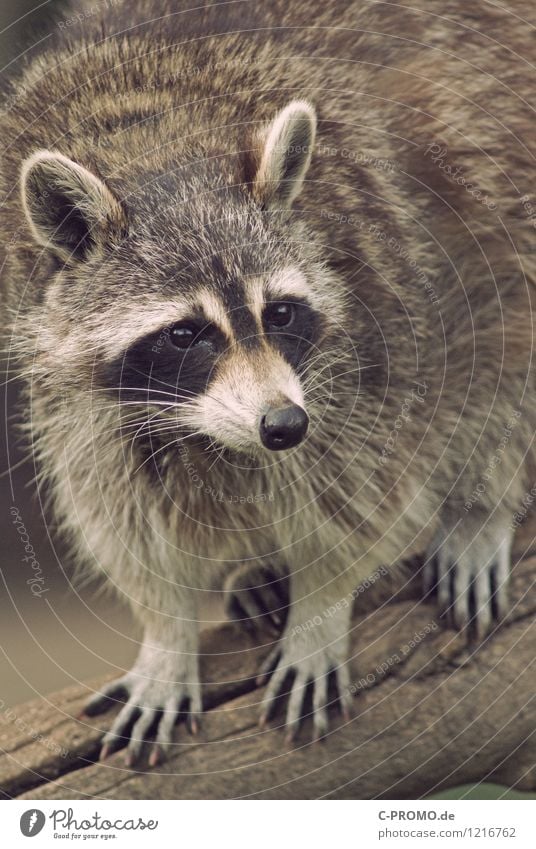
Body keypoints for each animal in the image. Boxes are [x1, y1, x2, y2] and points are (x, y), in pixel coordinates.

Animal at [1, 0, 536, 764]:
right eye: (185, 334)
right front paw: (167, 633)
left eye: (278, 312)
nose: (282, 426)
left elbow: (368, 489)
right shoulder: (67, 364)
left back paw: (481, 507)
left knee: (499, 337)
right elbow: (119, 500)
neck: (162, 152)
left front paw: (320, 607)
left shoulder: (379, 299)